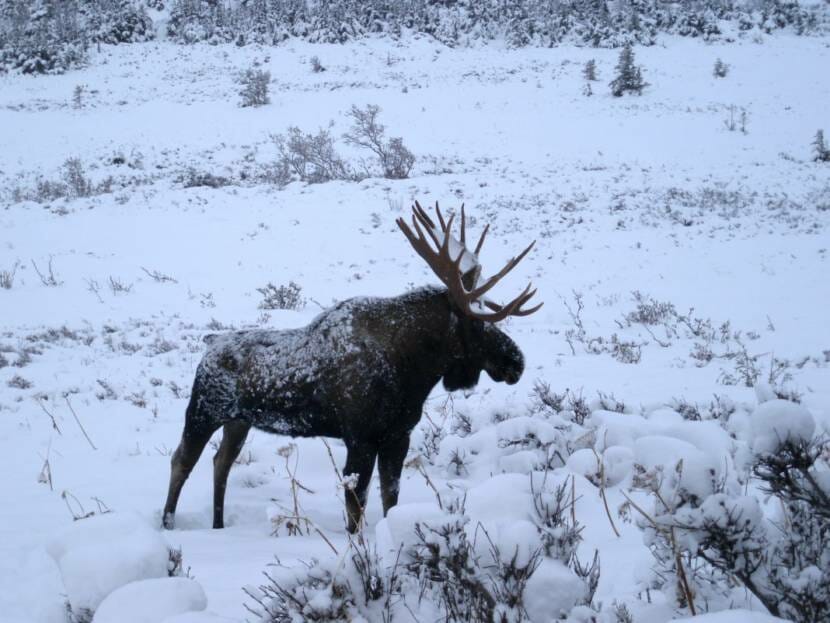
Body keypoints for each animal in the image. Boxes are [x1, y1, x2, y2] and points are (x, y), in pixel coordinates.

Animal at [162, 201, 542, 534]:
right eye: (478, 323)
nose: (516, 362)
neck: (415, 370)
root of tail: (209, 343)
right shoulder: (360, 437)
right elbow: (356, 505)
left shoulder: (397, 435)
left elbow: (390, 497)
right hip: (203, 412)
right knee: (181, 460)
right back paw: (168, 523)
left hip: (238, 422)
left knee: (220, 463)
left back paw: (218, 524)